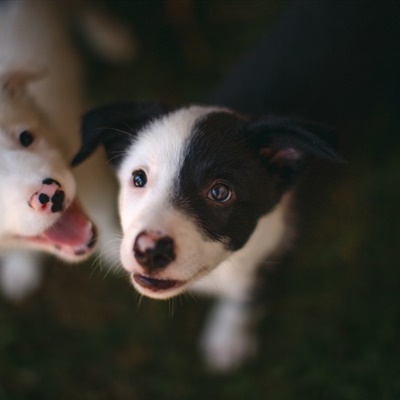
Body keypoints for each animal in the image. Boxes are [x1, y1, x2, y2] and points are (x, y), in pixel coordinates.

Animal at [72, 101, 340, 370]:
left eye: (220, 192)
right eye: (138, 178)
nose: (149, 250)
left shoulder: (273, 254)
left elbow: (246, 297)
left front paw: (228, 340)